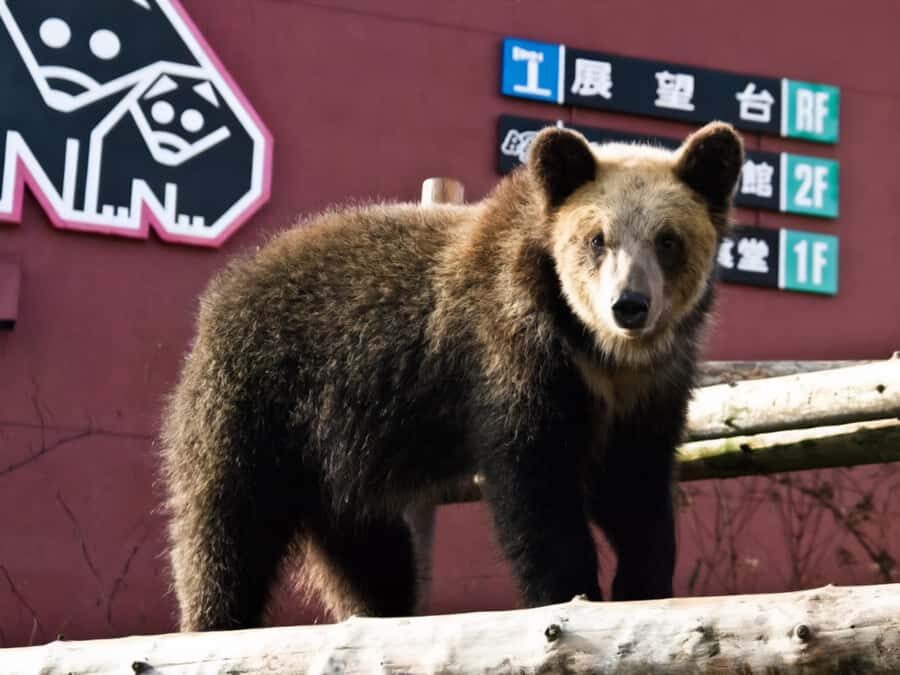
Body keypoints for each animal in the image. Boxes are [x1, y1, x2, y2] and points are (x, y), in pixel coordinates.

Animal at [161, 120, 743, 631]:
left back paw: (381, 612)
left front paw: (643, 583)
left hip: (340, 461)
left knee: (373, 554)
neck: (594, 350)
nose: (630, 305)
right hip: (259, 399)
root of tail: (229, 284)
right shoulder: (511, 359)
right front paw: (570, 592)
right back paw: (217, 620)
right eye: (597, 238)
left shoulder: (646, 394)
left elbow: (634, 488)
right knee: (227, 525)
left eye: (667, 239)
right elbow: (536, 487)